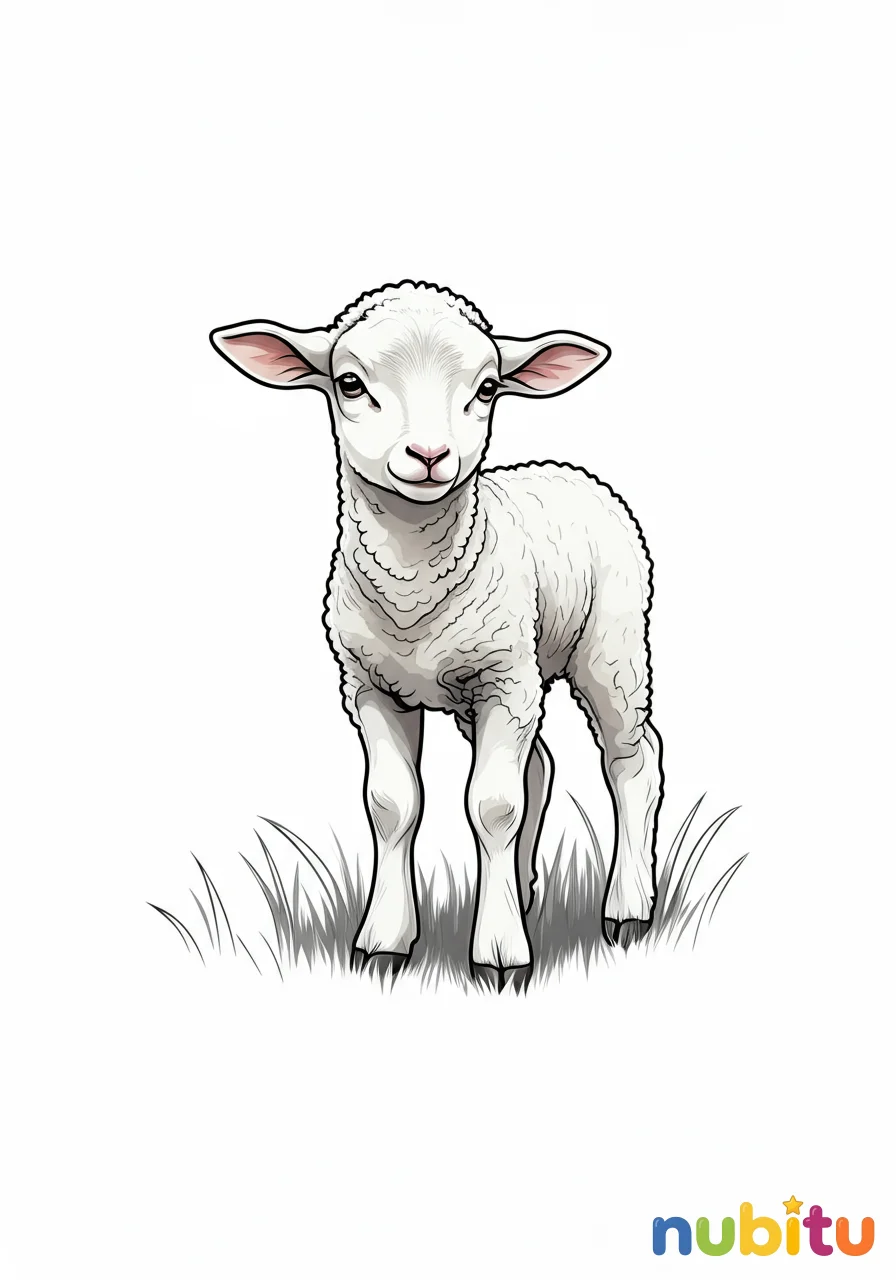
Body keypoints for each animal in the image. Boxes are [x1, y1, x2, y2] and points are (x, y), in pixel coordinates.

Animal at [210, 281, 663, 978]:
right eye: (348, 382)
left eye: (488, 387)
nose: (428, 456)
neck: (412, 586)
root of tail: (565, 470)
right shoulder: (370, 687)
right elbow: (393, 806)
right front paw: (384, 940)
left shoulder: (504, 681)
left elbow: (493, 806)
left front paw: (499, 953)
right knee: (541, 765)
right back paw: (524, 894)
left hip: (608, 648)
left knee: (632, 761)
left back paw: (628, 907)